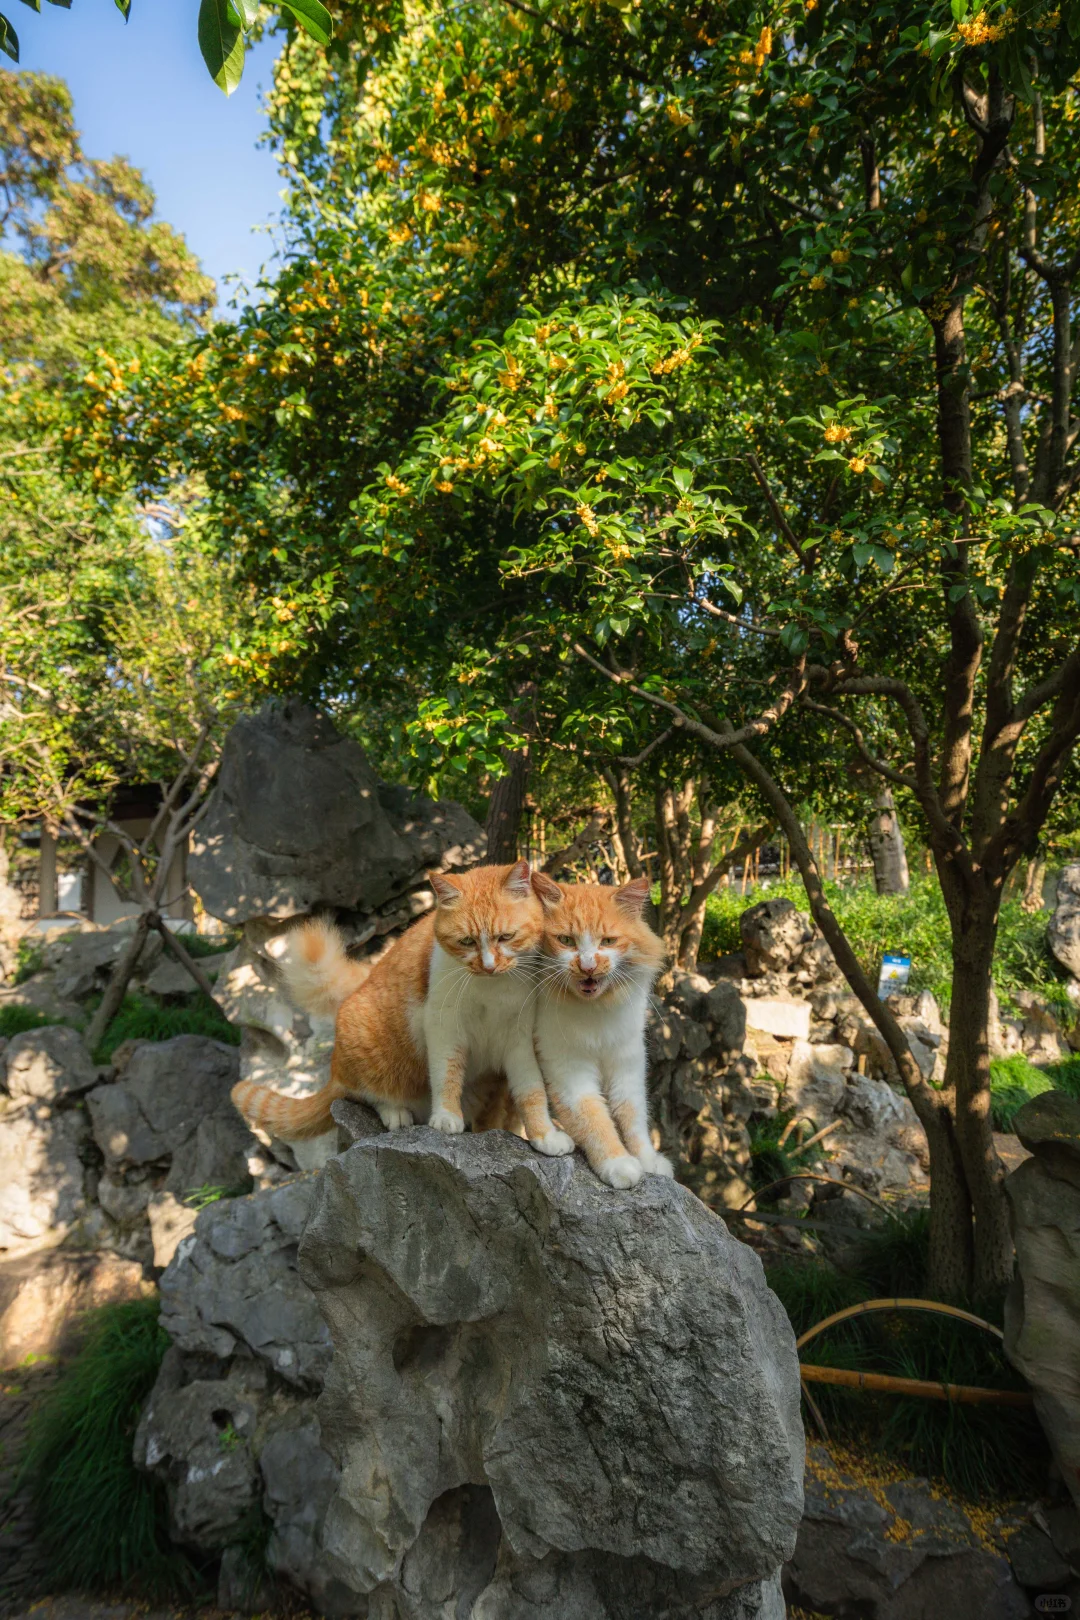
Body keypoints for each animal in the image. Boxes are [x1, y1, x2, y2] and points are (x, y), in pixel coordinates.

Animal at [233, 861, 579, 1153]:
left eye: (506, 937)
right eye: (467, 942)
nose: (488, 966)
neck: (494, 988)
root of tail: (333, 1069)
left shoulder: (518, 1040)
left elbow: (532, 1090)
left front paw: (544, 1135)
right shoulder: (443, 1026)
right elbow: (446, 1072)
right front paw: (446, 1116)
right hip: (366, 1044)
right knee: (364, 1092)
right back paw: (395, 1112)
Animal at [531, 874, 670, 1192]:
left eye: (608, 941)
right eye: (566, 940)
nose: (587, 966)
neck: (596, 1013)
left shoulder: (627, 1065)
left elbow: (634, 1119)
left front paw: (648, 1161)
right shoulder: (569, 1072)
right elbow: (595, 1121)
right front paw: (618, 1165)